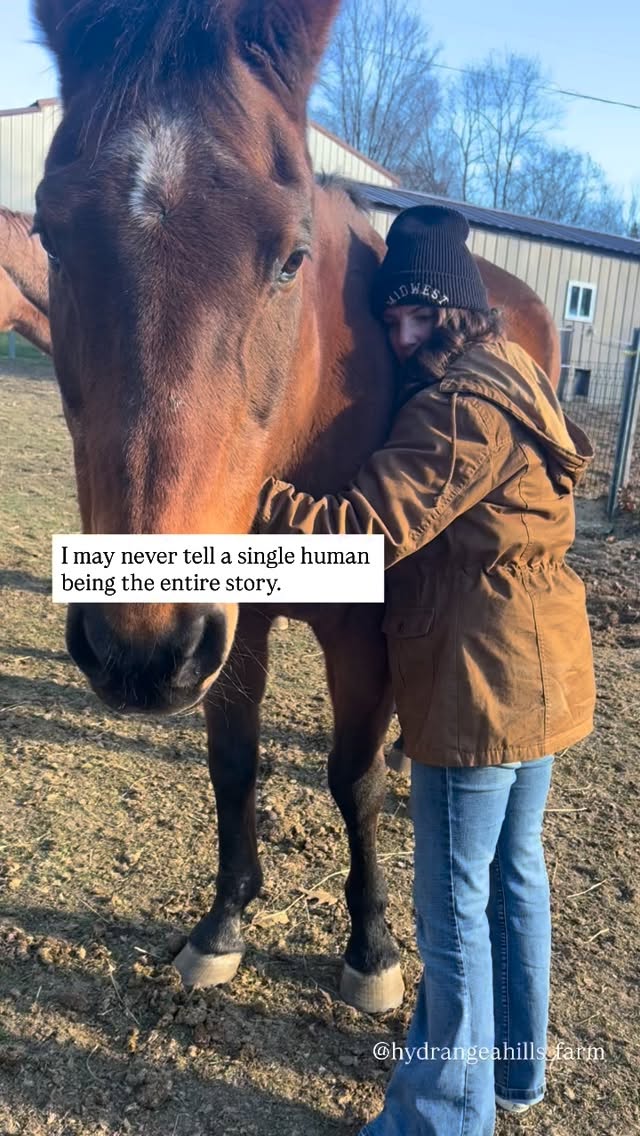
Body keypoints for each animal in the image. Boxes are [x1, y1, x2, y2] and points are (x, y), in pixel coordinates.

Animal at [35, 0, 560, 1013]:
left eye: (291, 259)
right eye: (47, 236)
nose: (136, 650)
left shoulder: (364, 628)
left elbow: (352, 779)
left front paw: (374, 948)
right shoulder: (233, 626)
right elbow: (234, 762)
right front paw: (223, 923)